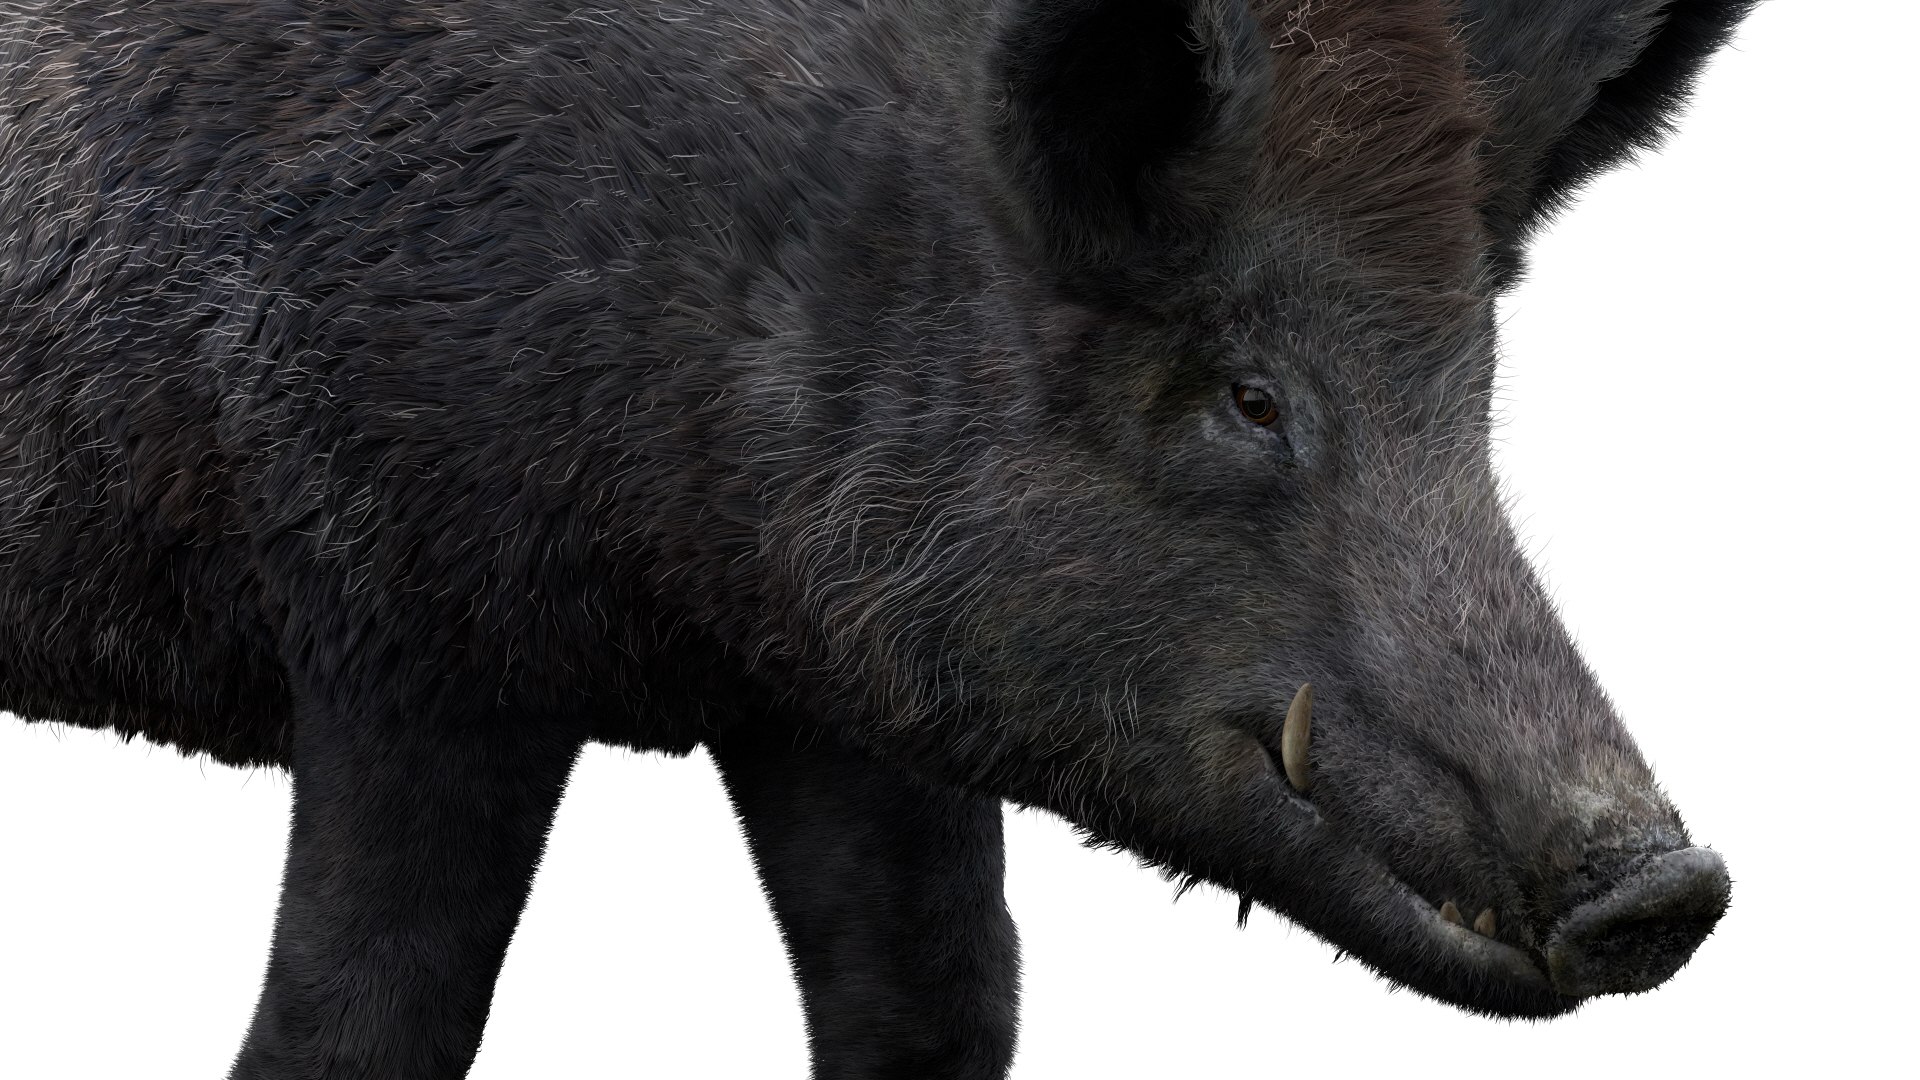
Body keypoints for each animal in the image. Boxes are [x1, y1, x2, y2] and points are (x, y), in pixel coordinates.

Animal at [0, 0, 1749, 1076]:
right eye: (1249, 392)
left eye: (1475, 371)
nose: (1662, 885)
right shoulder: (398, 625)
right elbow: (362, 1018)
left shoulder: (833, 711)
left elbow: (944, 991)